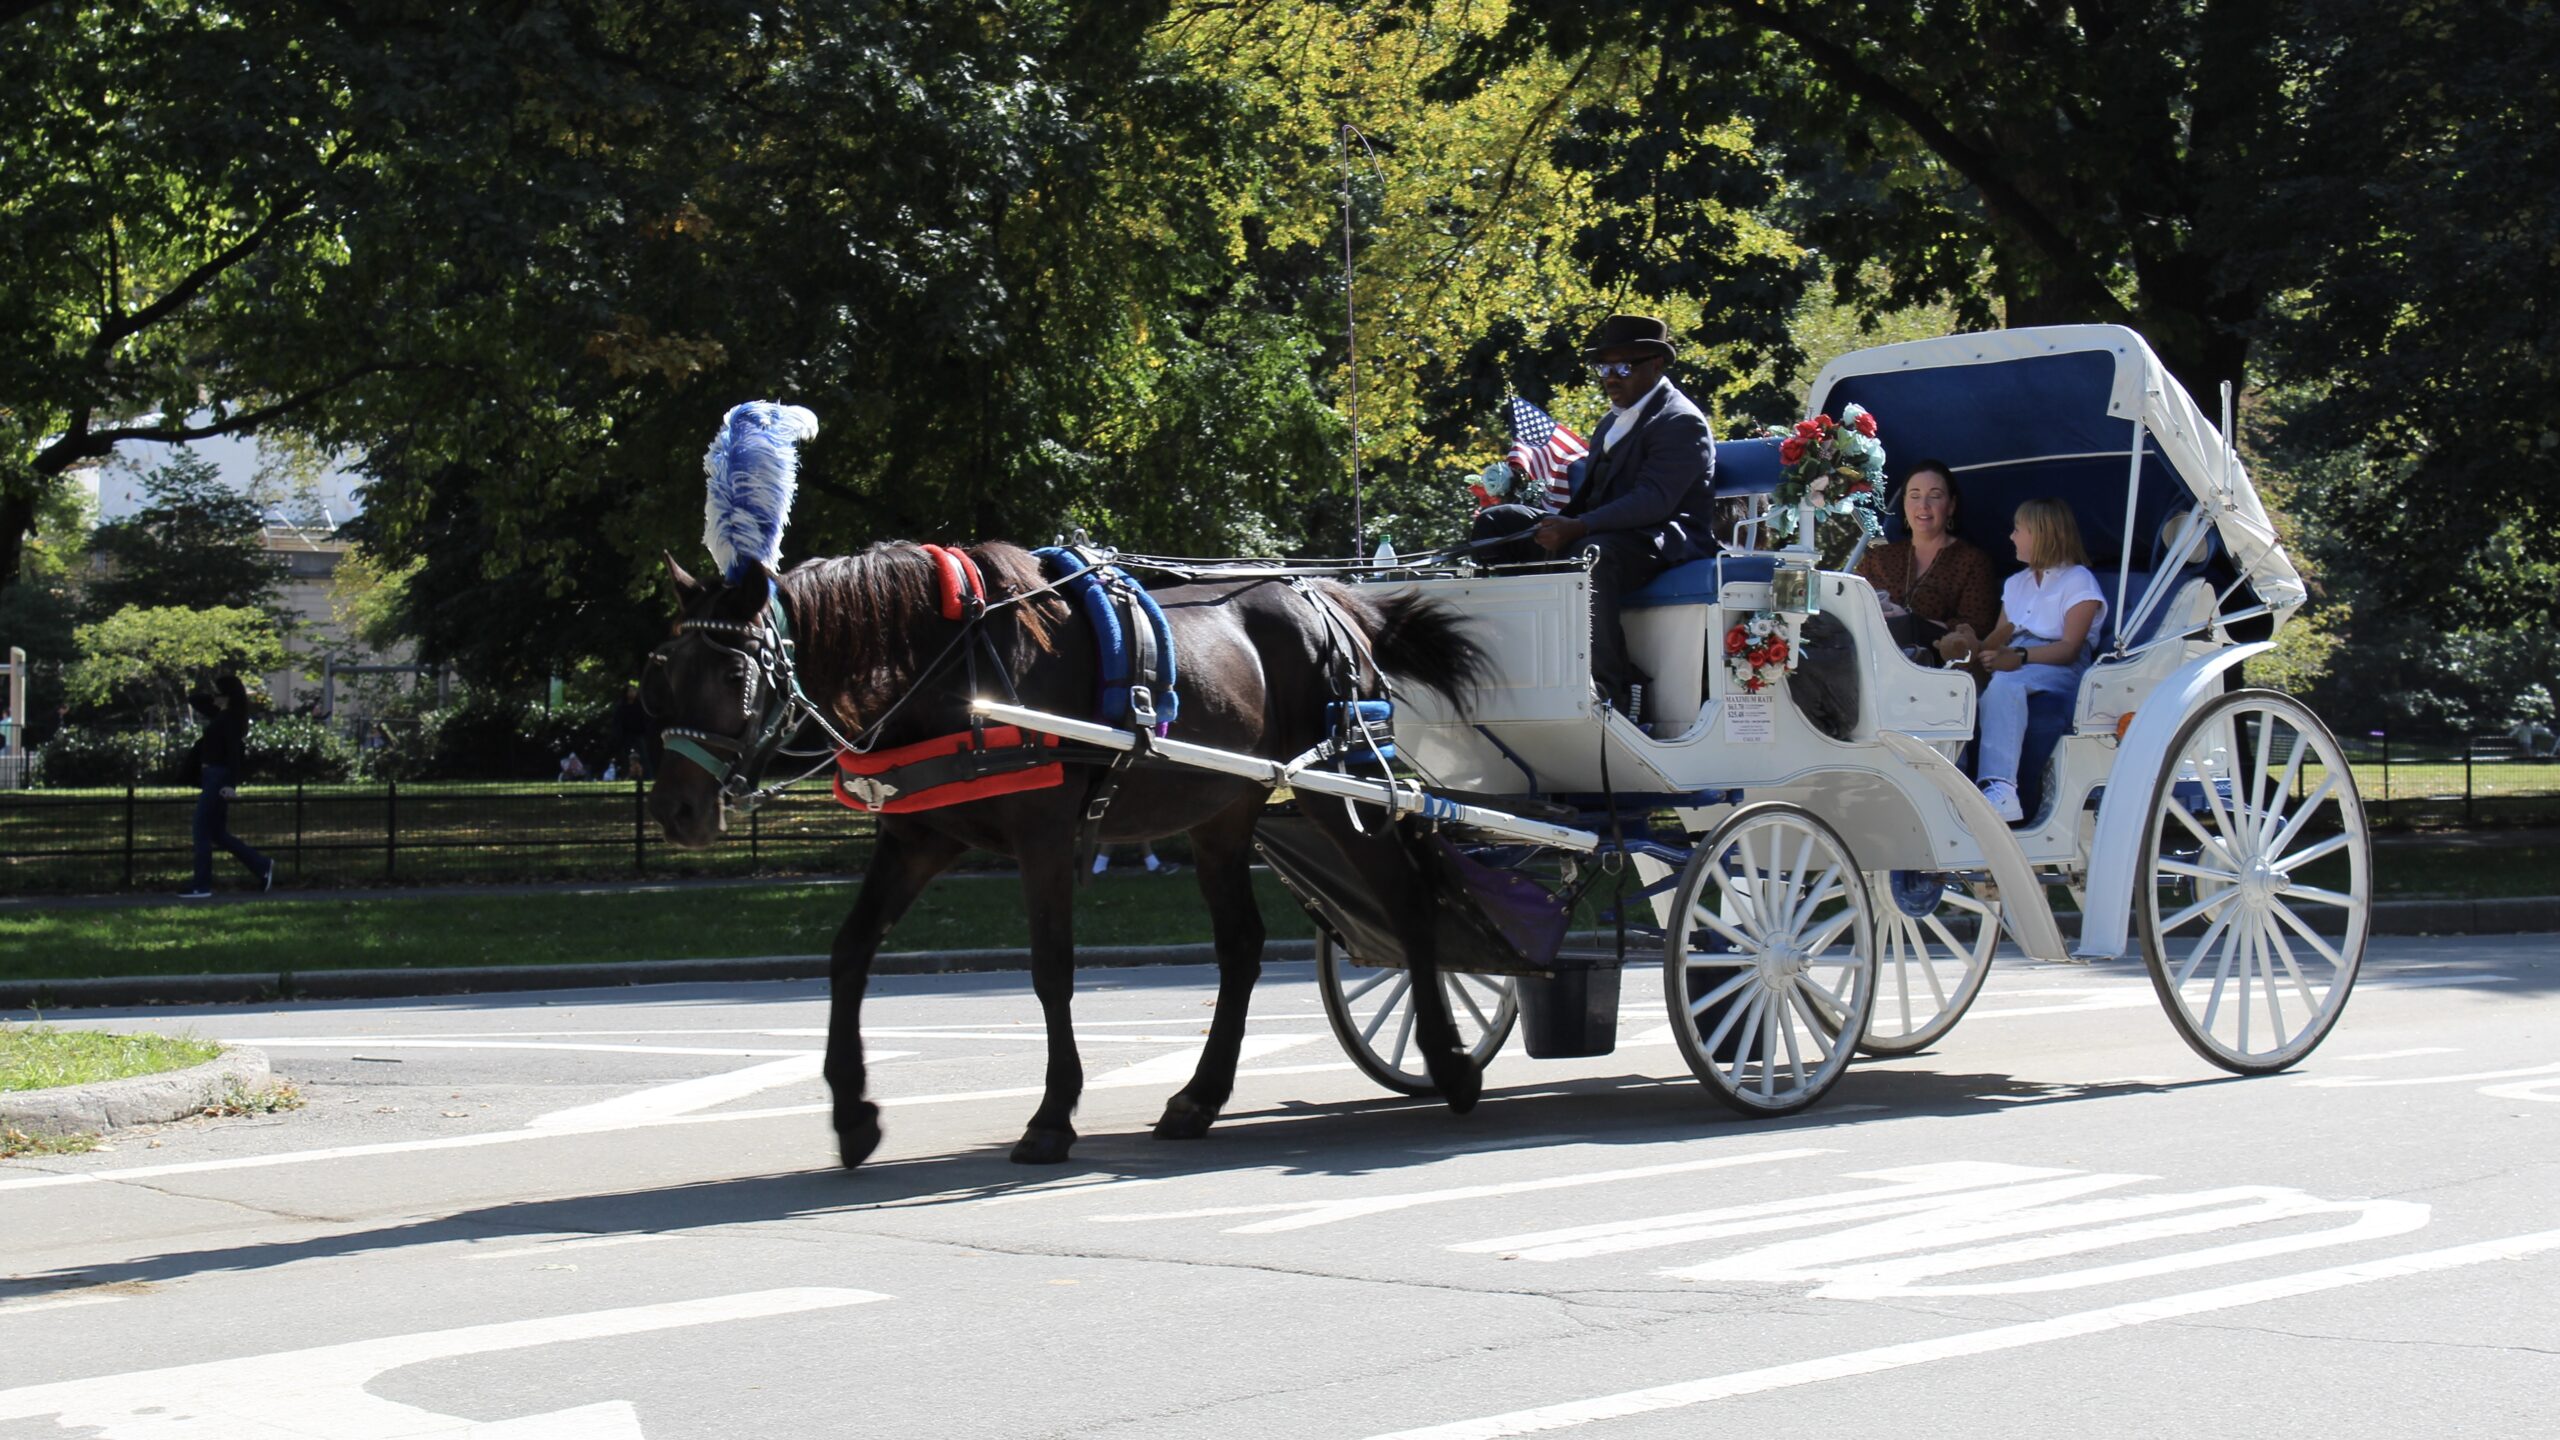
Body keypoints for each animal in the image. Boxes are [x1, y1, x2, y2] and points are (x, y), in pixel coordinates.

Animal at [640, 540, 1495, 1168]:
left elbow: (1051, 969)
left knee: (1408, 899)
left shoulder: (1044, 839)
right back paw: (1200, 1096)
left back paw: (1448, 1059)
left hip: (1340, 791)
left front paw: (1052, 1117)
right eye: (663, 672)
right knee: (1242, 947)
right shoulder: (918, 838)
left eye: (732, 669)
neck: (953, 665)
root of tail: (1330, 599)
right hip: (1224, 814)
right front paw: (852, 1113)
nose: (677, 811)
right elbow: (850, 952)